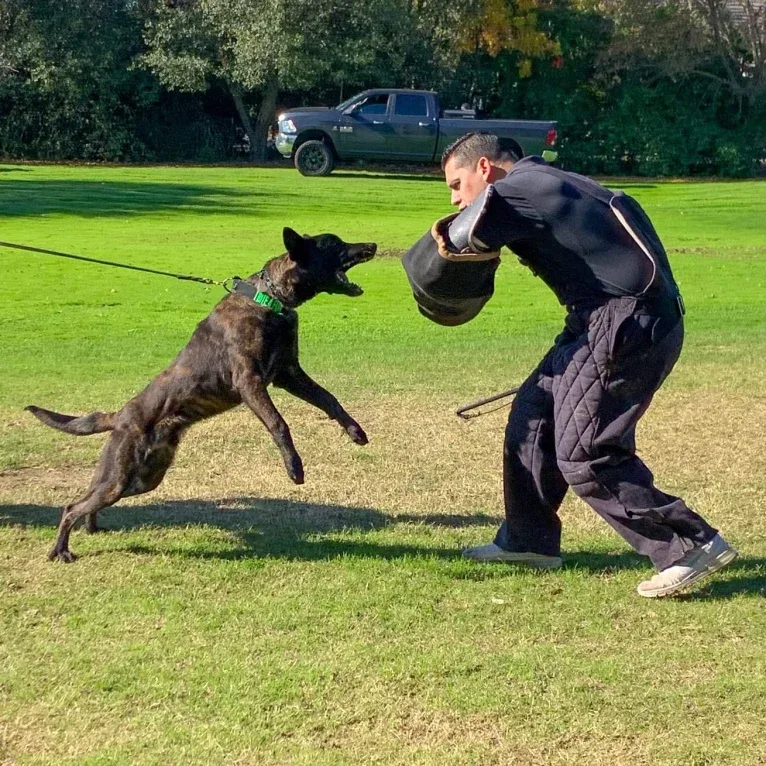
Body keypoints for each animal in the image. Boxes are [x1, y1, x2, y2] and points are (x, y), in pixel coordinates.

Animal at [27, 228, 378, 564]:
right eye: (333, 243)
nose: (372, 245)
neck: (270, 299)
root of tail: (121, 416)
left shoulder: (288, 374)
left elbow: (330, 399)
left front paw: (355, 431)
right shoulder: (250, 382)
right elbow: (279, 424)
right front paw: (294, 467)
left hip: (141, 479)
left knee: (87, 500)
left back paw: (91, 526)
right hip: (121, 476)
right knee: (72, 506)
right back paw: (61, 550)